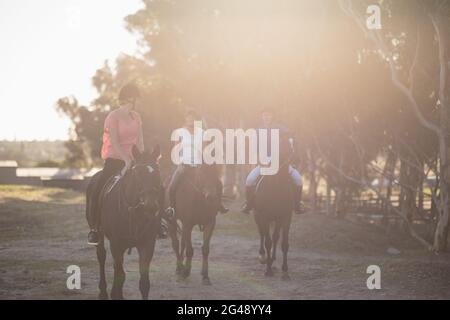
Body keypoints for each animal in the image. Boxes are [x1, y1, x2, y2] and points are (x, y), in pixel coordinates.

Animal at [85, 146, 163, 298]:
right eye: (138, 173)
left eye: (157, 171)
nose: (151, 206)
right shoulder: (116, 245)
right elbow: (120, 276)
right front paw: (115, 293)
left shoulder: (147, 245)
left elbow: (144, 283)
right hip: (100, 235)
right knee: (102, 257)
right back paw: (103, 291)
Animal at [253, 137, 296, 280]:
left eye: (291, 149)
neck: (277, 187)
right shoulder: (264, 216)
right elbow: (268, 242)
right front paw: (268, 271)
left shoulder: (285, 216)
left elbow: (284, 243)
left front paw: (285, 271)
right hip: (257, 216)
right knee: (262, 234)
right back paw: (263, 257)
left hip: (277, 219)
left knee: (275, 237)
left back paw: (272, 259)